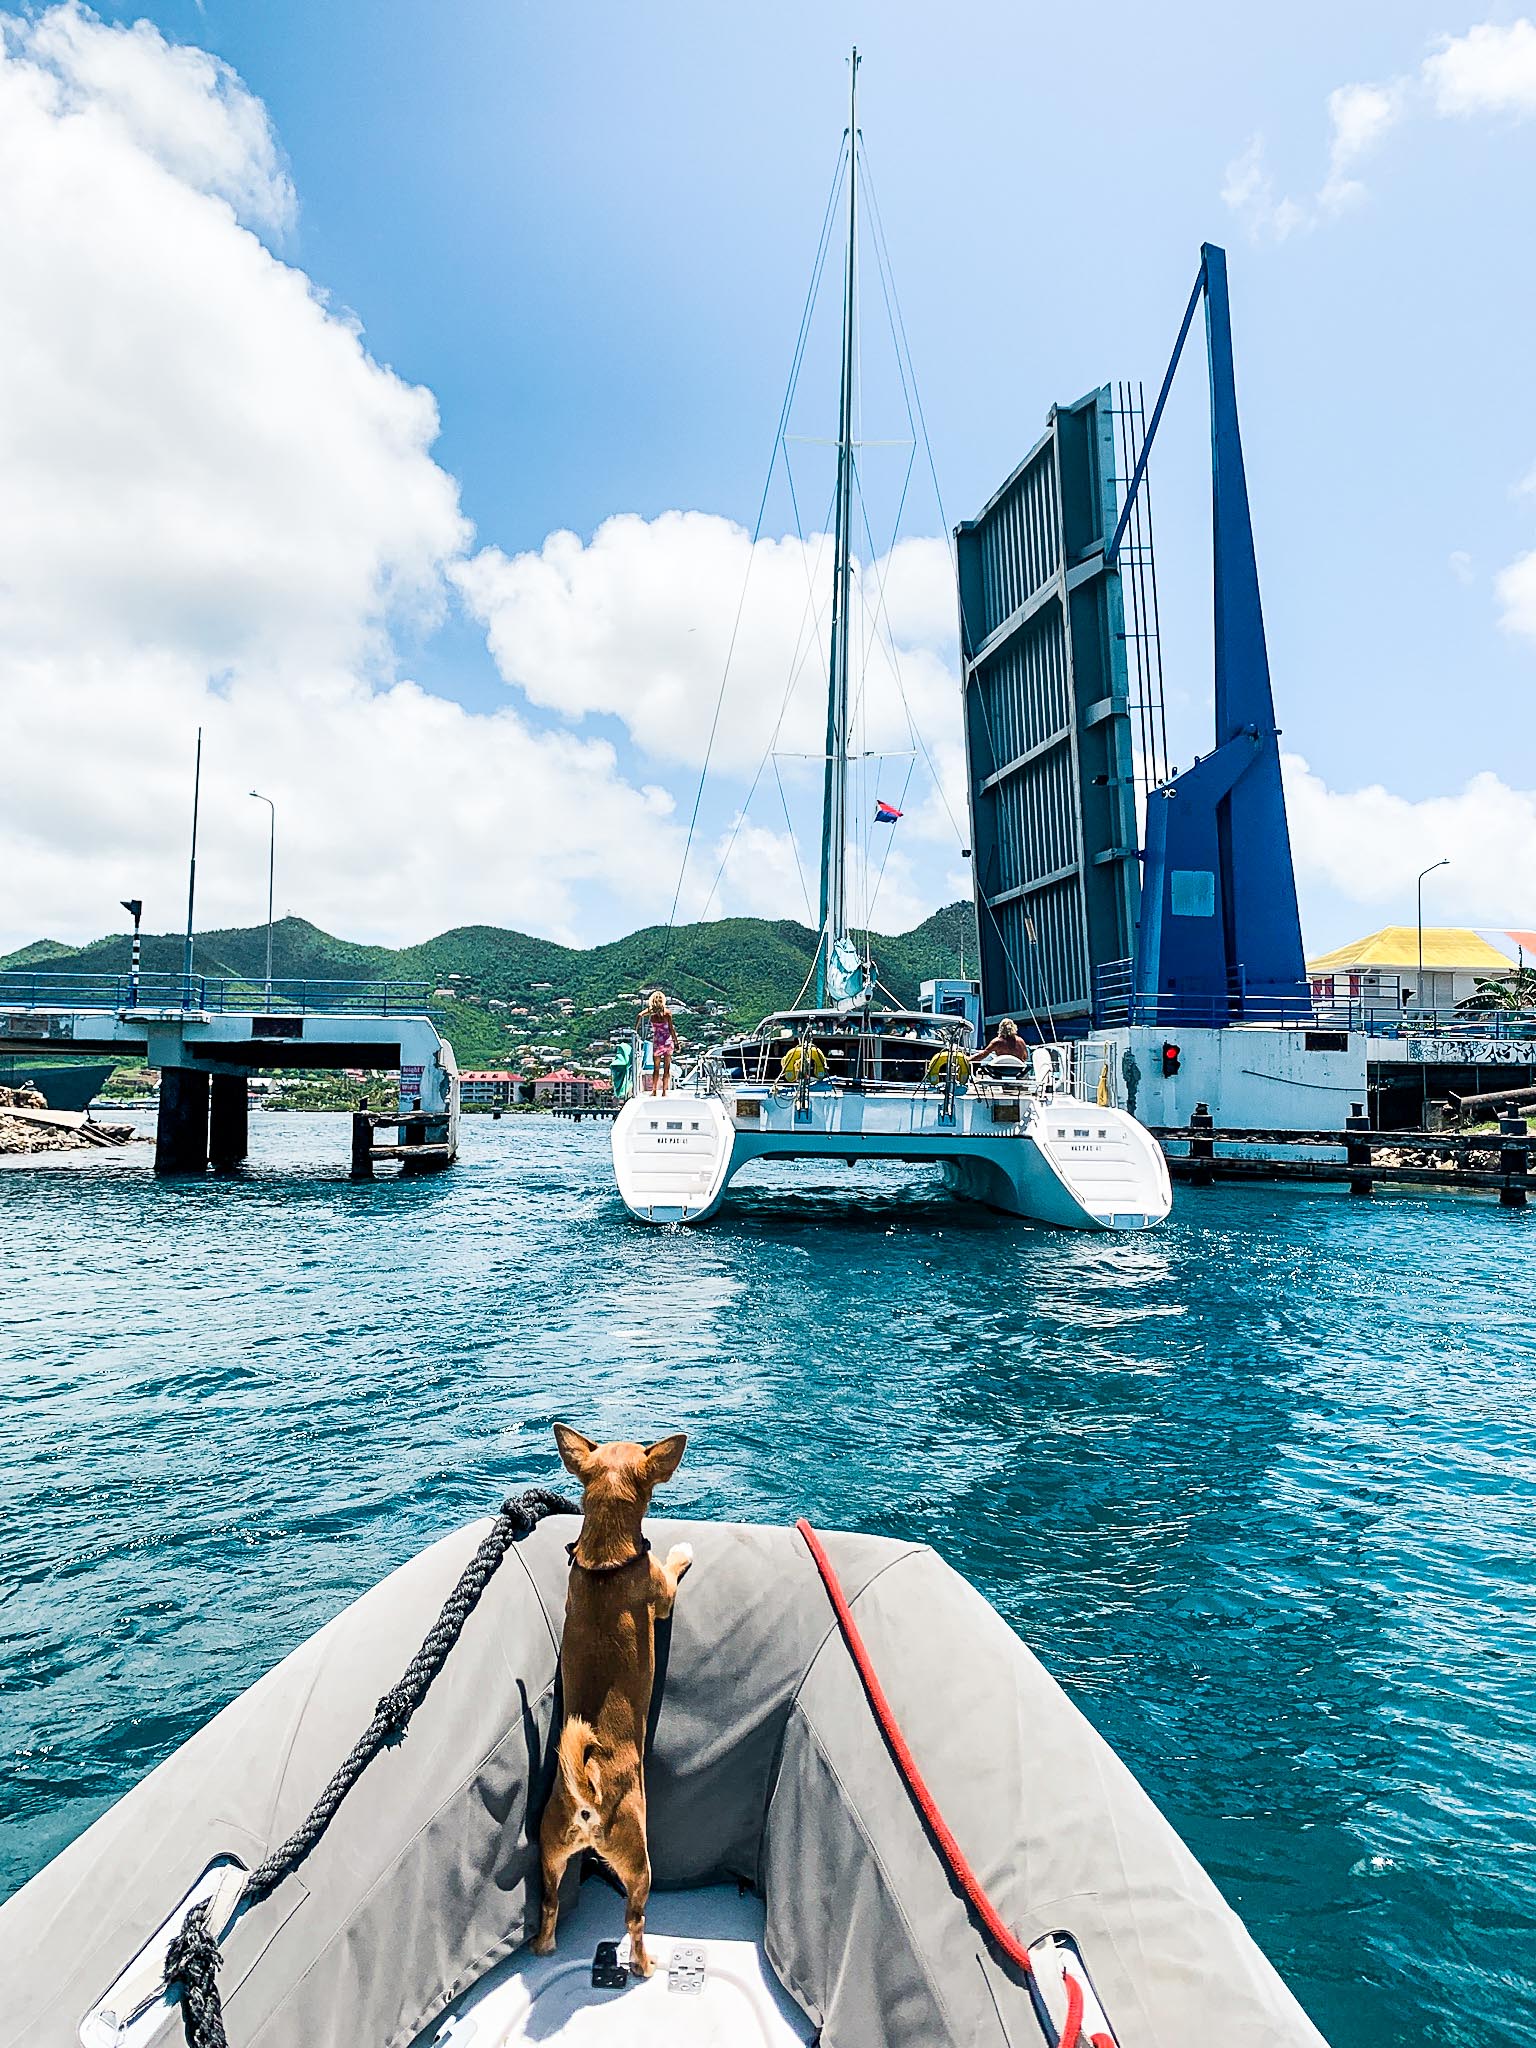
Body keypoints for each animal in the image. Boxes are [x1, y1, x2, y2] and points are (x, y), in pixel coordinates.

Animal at [532, 1425, 696, 1966]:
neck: (605, 1560)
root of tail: (588, 1801)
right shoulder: (663, 1594)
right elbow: (672, 1568)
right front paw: (682, 1550)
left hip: (550, 1857)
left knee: (549, 1905)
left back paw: (545, 1945)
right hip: (639, 1864)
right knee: (635, 1921)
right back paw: (644, 1964)